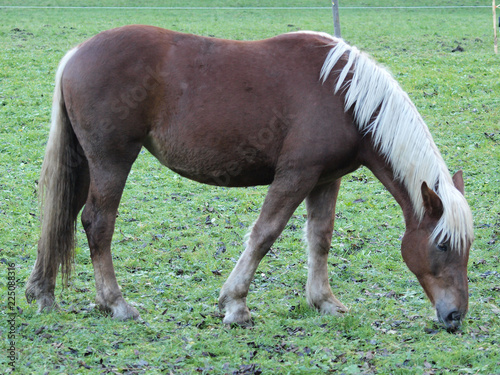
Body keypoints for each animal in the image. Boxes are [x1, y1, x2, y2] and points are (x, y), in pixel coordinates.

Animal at [26, 25, 472, 332]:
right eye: (443, 244)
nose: (455, 315)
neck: (344, 96)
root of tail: (76, 54)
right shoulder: (296, 175)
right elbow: (264, 234)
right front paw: (235, 305)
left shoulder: (325, 180)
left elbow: (320, 239)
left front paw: (324, 301)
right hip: (112, 160)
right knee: (97, 223)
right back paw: (115, 304)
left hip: (85, 163)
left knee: (61, 217)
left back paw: (43, 294)